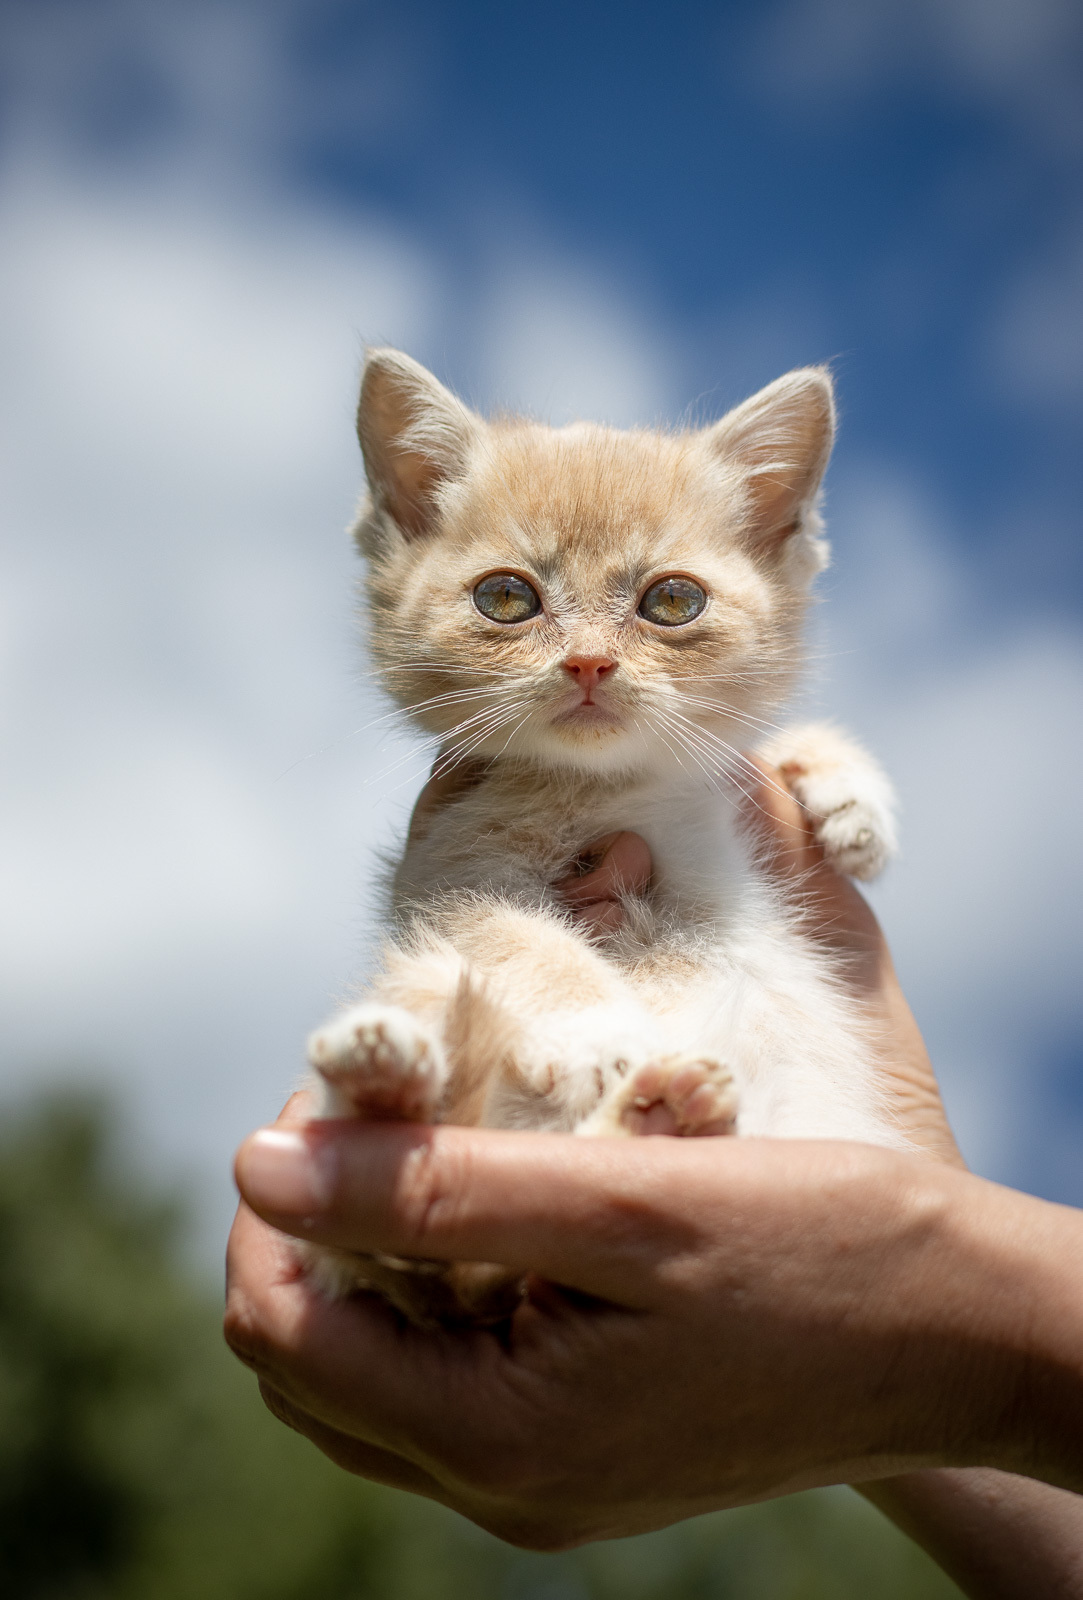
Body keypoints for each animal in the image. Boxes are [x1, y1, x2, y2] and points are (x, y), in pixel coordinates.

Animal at [299, 350, 902, 1324]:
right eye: (506, 598)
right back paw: (384, 1079)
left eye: (672, 601)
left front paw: (846, 792)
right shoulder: (444, 873)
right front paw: (599, 1032)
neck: (612, 783)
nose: (588, 662)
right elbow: (519, 936)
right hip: (422, 986)